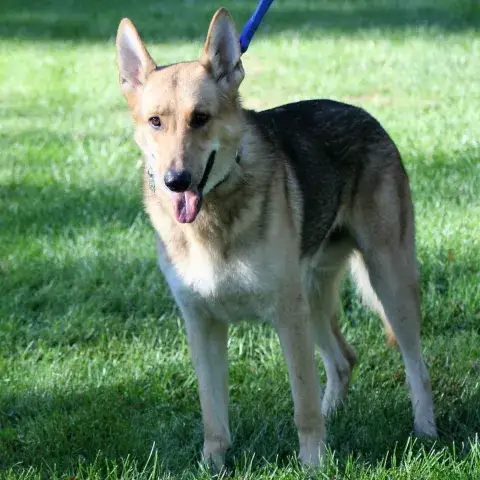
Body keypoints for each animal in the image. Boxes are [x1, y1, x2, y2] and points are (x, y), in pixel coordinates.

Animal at [115, 8, 437, 469]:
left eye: (201, 118)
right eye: (156, 121)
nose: (177, 181)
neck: (214, 220)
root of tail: (365, 116)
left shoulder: (287, 318)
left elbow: (302, 405)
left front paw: (314, 466)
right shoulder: (202, 325)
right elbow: (213, 415)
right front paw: (212, 466)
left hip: (388, 285)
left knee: (416, 367)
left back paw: (426, 431)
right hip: (314, 300)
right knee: (343, 360)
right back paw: (335, 415)